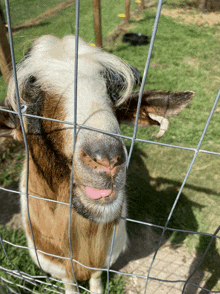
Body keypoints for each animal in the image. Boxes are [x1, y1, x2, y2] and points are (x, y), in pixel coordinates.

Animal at [0, 35, 194, 292]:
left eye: (114, 97)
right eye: (23, 108)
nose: (108, 159)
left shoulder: (106, 258)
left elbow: (96, 281)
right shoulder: (56, 267)